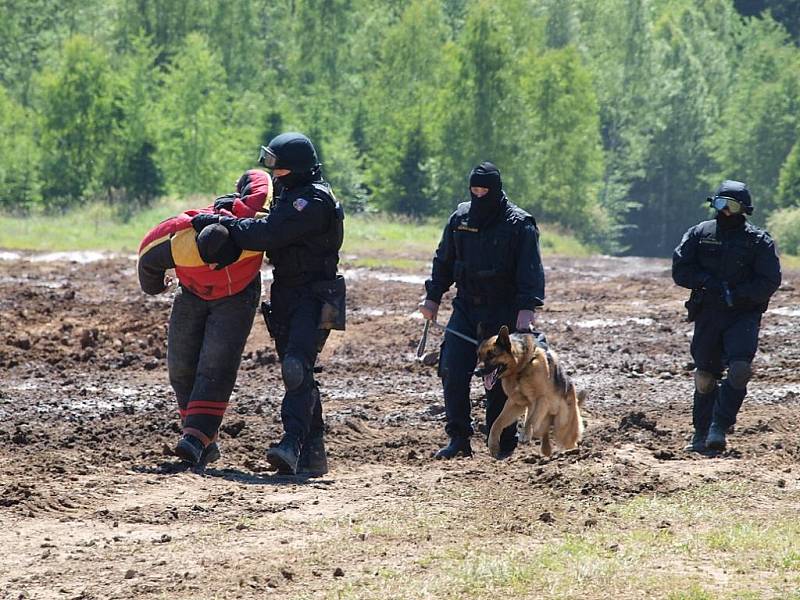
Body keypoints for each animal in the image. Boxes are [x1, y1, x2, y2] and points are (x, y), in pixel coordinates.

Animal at [478, 326, 584, 458]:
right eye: (479, 356)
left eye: (491, 355)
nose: (476, 372)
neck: (521, 368)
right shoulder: (516, 403)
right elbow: (497, 422)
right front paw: (493, 444)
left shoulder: (541, 399)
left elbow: (531, 419)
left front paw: (524, 434)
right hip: (543, 424)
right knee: (543, 433)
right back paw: (546, 450)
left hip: (563, 427)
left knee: (570, 441)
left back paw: (572, 452)